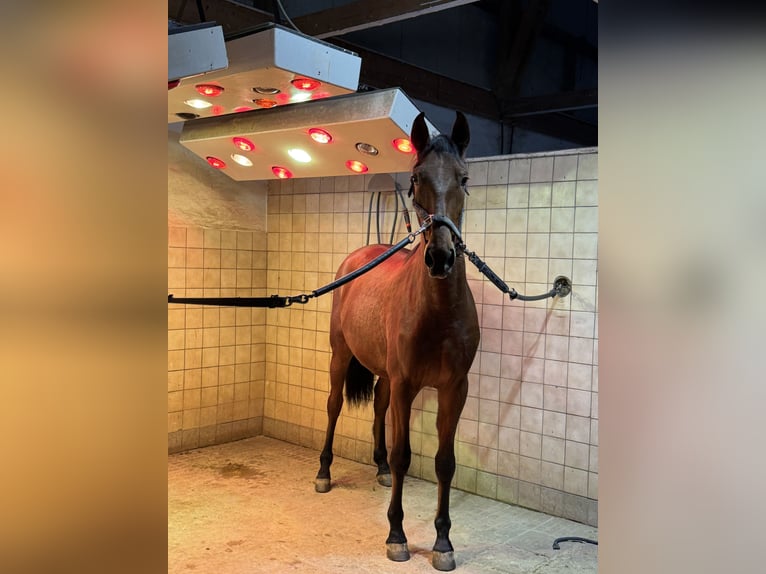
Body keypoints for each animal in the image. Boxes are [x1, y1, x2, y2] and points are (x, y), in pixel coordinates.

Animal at [314, 111, 480, 571]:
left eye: (463, 178)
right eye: (416, 178)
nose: (440, 257)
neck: (438, 313)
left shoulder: (454, 388)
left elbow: (444, 462)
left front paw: (443, 541)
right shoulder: (408, 384)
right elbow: (404, 455)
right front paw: (396, 535)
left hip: (386, 374)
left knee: (378, 407)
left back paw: (379, 468)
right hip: (341, 356)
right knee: (334, 406)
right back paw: (324, 472)